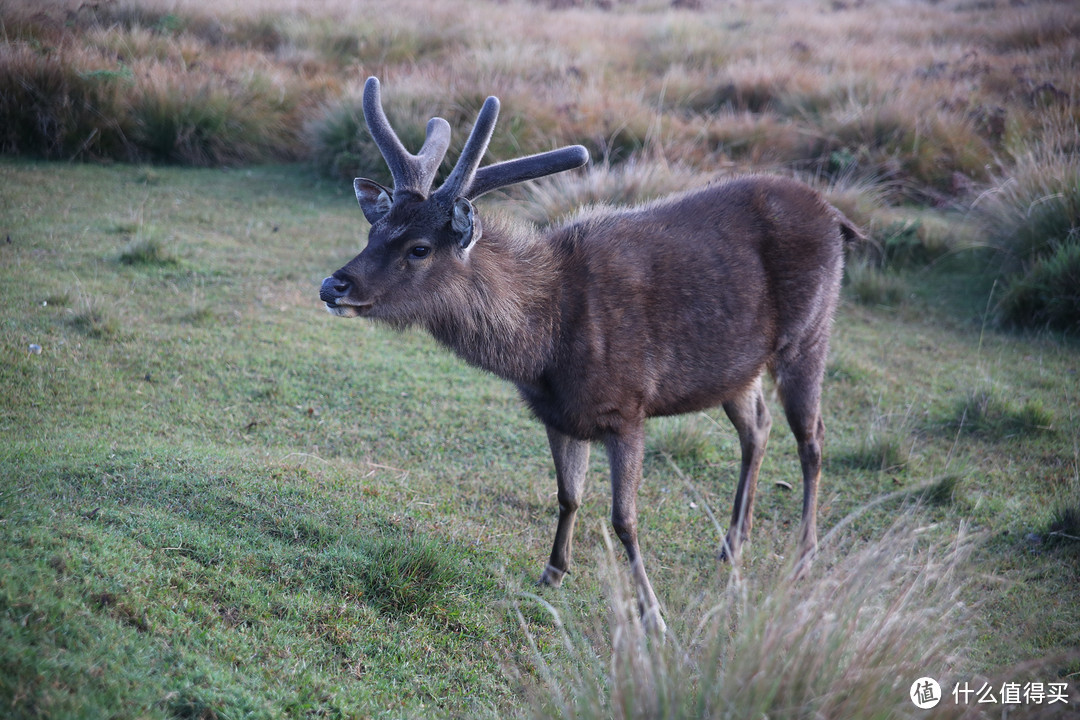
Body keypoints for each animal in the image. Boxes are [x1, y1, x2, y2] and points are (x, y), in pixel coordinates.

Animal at [321, 76, 868, 634]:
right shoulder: (559, 415)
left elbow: (624, 519)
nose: (333, 285)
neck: (546, 346)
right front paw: (552, 572)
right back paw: (733, 544)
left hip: (810, 333)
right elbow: (568, 494)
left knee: (812, 437)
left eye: (420, 248)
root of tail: (836, 216)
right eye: (374, 230)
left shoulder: (627, 408)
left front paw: (652, 614)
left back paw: (803, 556)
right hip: (737, 370)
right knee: (757, 427)